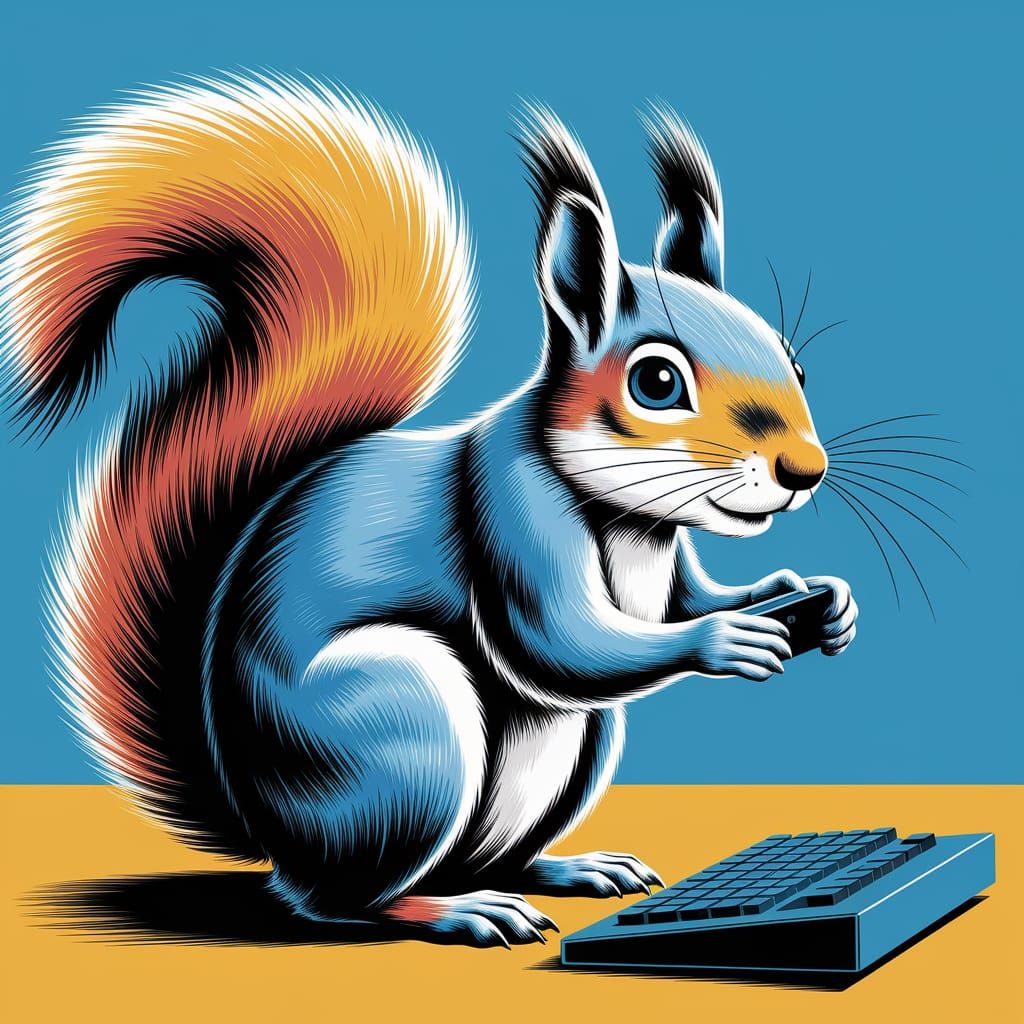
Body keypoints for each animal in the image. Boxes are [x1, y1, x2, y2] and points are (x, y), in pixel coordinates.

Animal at [1, 74, 857, 947]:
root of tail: (268, 832)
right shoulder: (510, 510)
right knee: (342, 900)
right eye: (656, 382)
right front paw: (728, 637)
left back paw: (568, 868)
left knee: (490, 855)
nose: (804, 470)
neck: (632, 521)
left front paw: (812, 600)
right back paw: (460, 910)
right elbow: (560, 643)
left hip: (577, 744)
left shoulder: (670, 563)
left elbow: (691, 597)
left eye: (793, 362)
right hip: (400, 732)